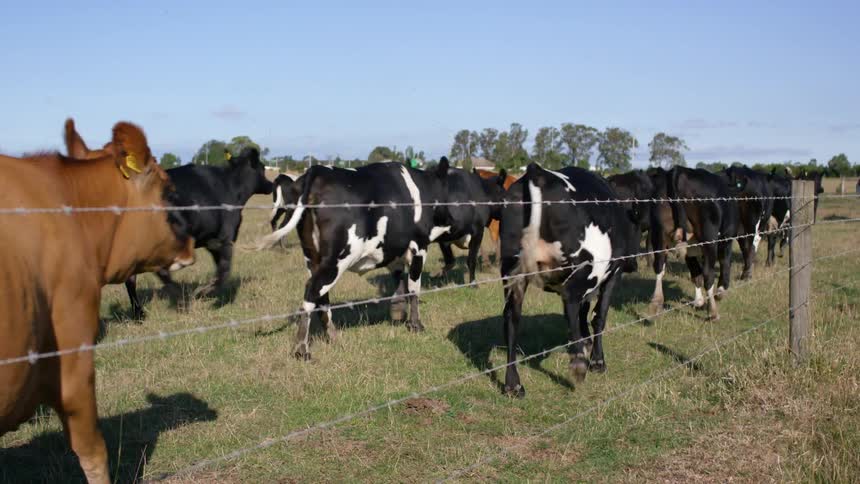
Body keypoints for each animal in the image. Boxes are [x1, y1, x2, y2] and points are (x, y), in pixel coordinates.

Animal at [116, 148, 274, 319]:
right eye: (262, 168)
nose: (271, 184)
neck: (231, 185)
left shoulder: (211, 240)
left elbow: (220, 269)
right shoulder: (225, 237)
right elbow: (224, 270)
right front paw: (205, 292)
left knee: (132, 278)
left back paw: (139, 313)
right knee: (159, 270)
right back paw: (180, 298)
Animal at [257, 158, 452, 359]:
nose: (450, 219)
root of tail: (318, 170)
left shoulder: (393, 251)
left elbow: (399, 280)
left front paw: (398, 312)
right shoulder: (419, 247)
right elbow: (413, 288)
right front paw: (415, 324)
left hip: (313, 258)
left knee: (322, 297)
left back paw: (334, 337)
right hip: (337, 259)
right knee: (312, 292)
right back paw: (302, 348)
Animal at [499, 163, 640, 397]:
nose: (634, 264)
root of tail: (538, 172)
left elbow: (586, 313)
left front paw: (586, 342)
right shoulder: (613, 273)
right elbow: (598, 316)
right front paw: (597, 361)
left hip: (512, 272)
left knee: (512, 318)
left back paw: (513, 384)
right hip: (583, 270)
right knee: (571, 305)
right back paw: (579, 364)